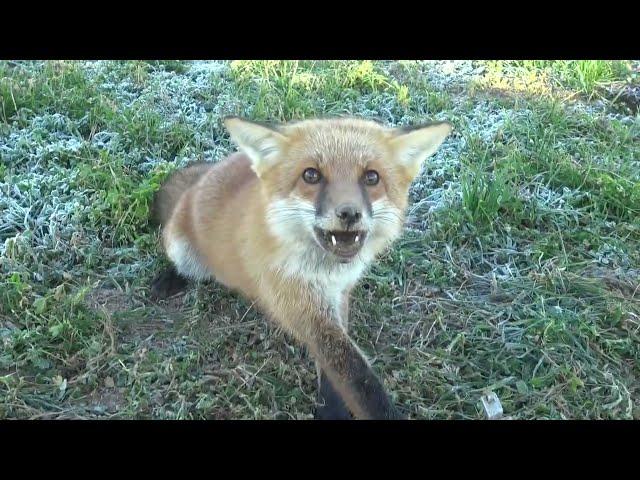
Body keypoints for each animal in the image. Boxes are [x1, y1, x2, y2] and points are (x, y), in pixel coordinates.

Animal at [150, 117, 450, 420]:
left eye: (372, 177)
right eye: (311, 175)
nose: (349, 213)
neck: (327, 272)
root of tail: (204, 177)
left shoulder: (337, 295)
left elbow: (335, 366)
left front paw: (331, 407)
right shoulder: (297, 302)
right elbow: (356, 376)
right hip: (180, 248)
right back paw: (172, 278)